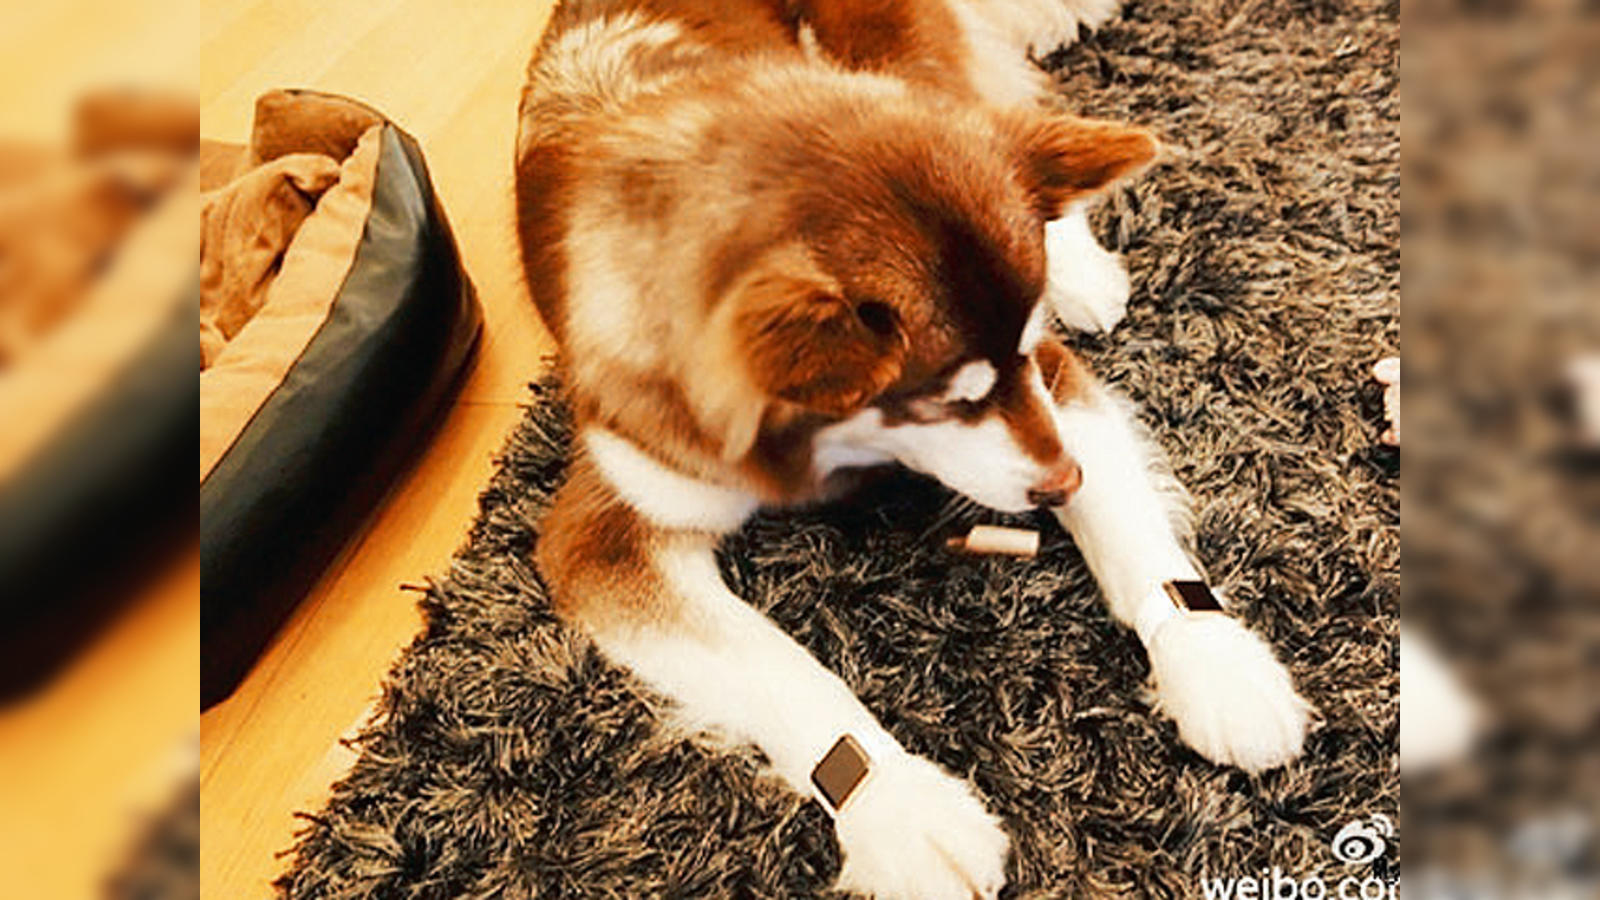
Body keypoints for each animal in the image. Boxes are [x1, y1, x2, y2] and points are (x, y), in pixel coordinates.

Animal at [518, 3, 1305, 890]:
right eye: (948, 404)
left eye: (1021, 360)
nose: (1062, 482)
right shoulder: (610, 526)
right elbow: (776, 668)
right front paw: (903, 807)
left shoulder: (1049, 377)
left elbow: (1130, 528)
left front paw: (1214, 659)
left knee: (996, 122)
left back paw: (1075, 259)